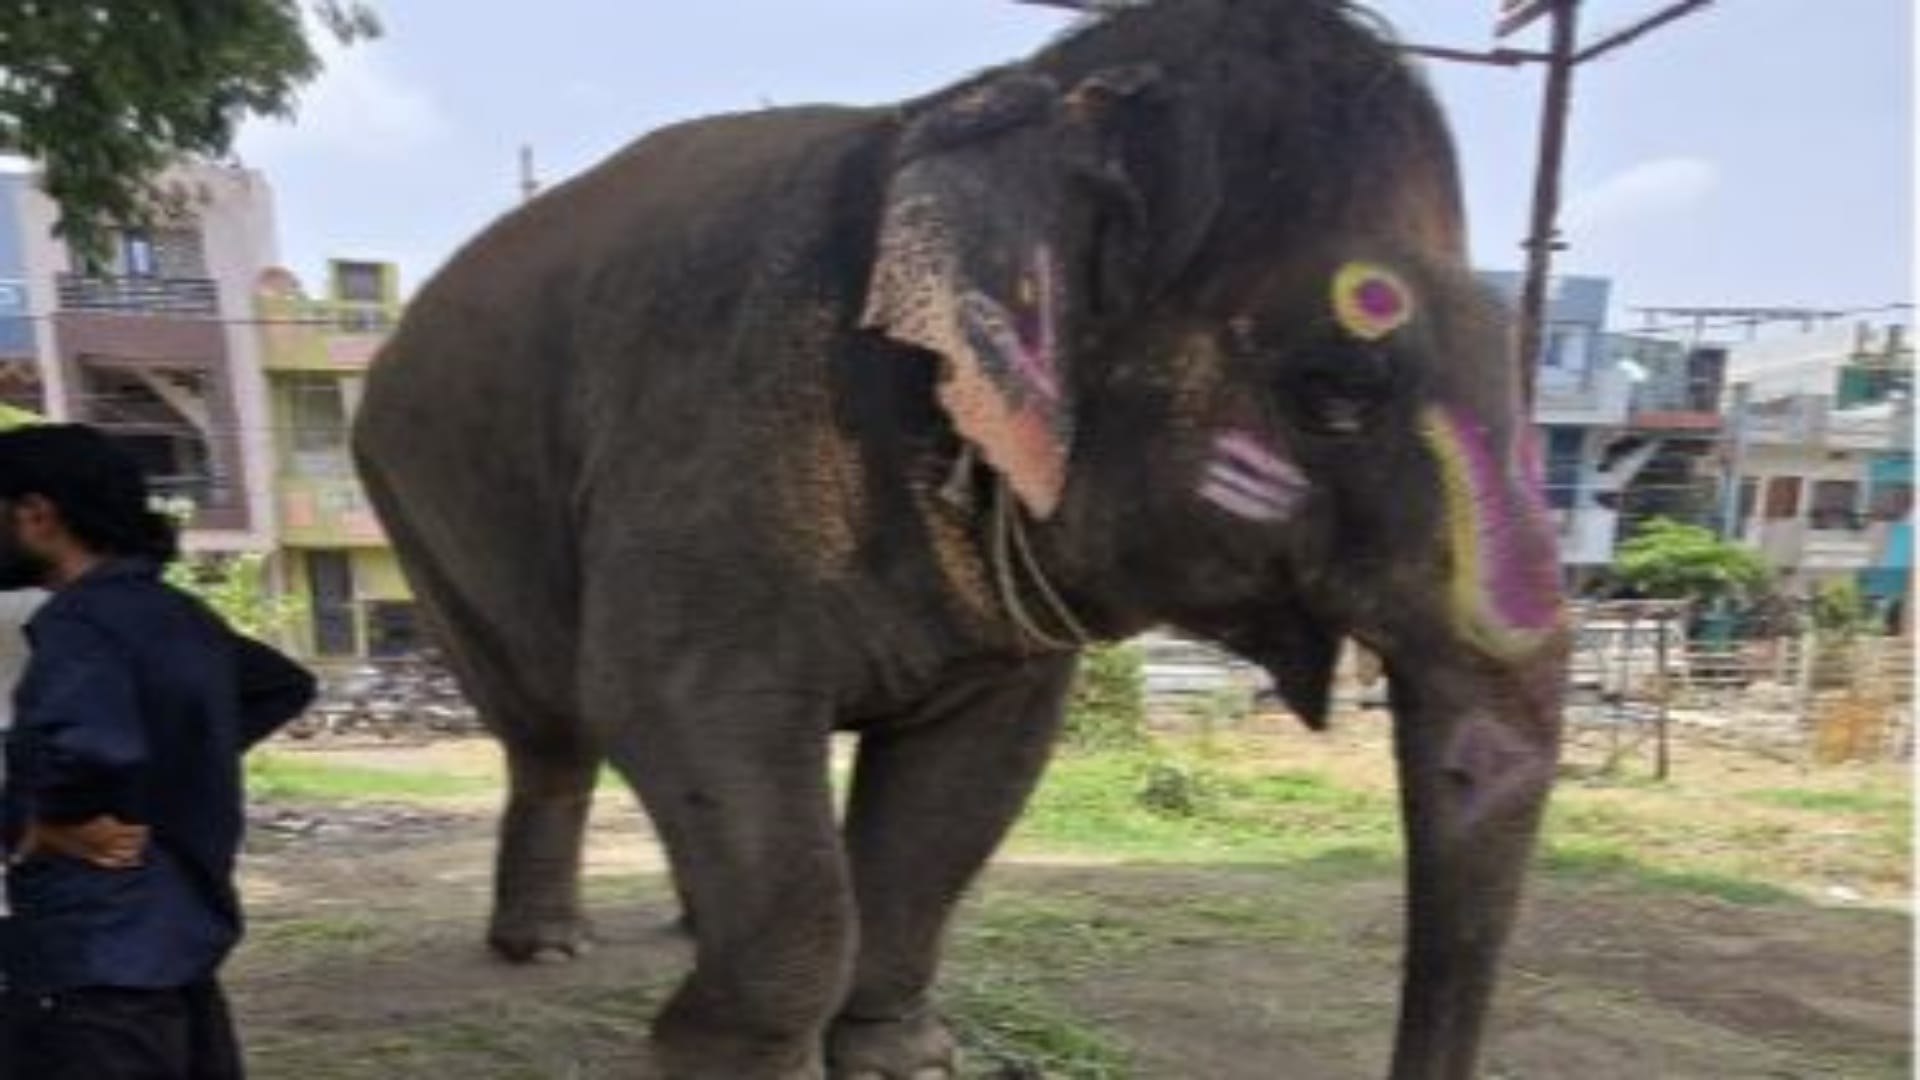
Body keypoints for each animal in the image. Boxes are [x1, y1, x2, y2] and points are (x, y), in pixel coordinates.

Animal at [352, 0, 1568, 1076]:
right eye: (1337, 389)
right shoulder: (703, 447)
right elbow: (676, 707)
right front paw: (721, 1056)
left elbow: (968, 784)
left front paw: (902, 1059)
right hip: (422, 512)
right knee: (551, 728)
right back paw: (551, 946)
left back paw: (686, 931)